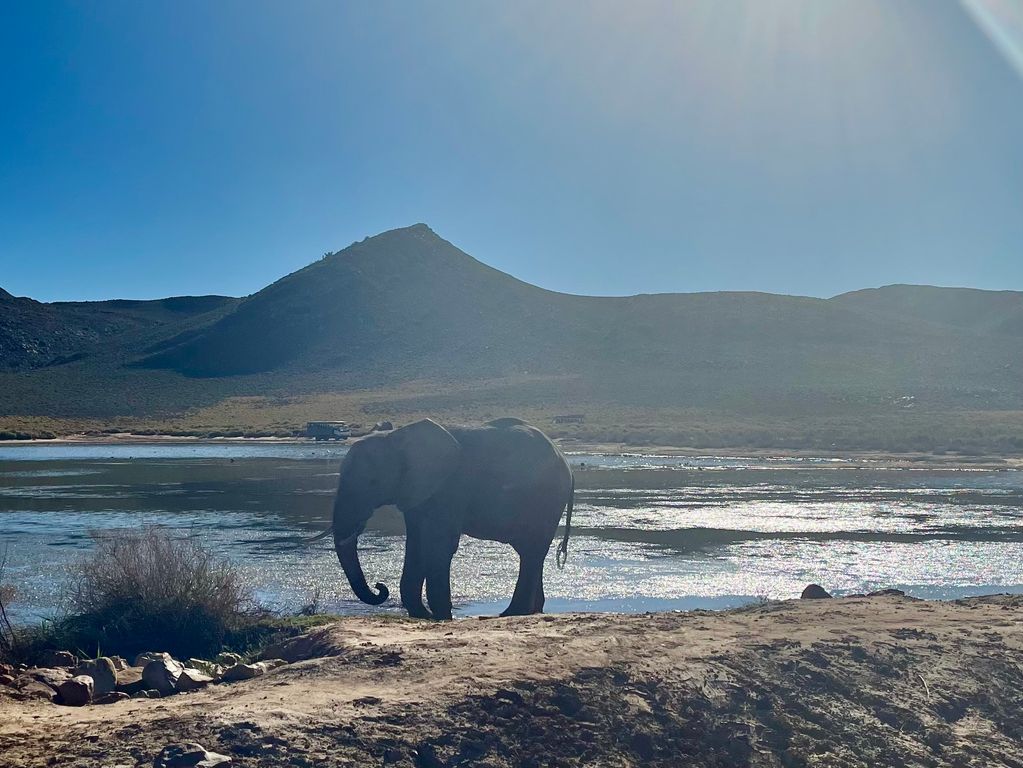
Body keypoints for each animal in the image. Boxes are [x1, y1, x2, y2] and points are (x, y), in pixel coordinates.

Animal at [327, 417, 572, 621]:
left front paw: (441, 617)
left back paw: (511, 613)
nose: (380, 587)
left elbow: (440, 545)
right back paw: (532, 611)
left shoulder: (450, 487)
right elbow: (415, 544)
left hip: (546, 500)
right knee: (529, 552)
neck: (396, 437)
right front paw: (424, 615)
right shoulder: (416, 492)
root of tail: (564, 460)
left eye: (373, 482)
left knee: (532, 551)